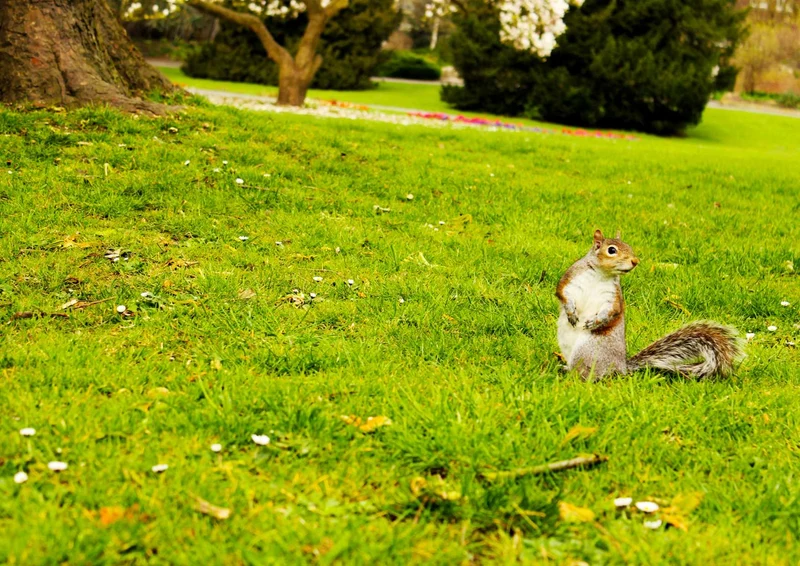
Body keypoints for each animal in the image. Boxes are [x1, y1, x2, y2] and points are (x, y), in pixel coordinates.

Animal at [556, 229, 743, 380]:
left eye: (629, 246)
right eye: (611, 250)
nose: (635, 261)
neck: (601, 274)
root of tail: (622, 367)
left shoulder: (613, 296)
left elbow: (612, 311)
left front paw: (595, 322)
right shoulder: (570, 280)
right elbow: (563, 294)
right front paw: (571, 312)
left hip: (589, 351)